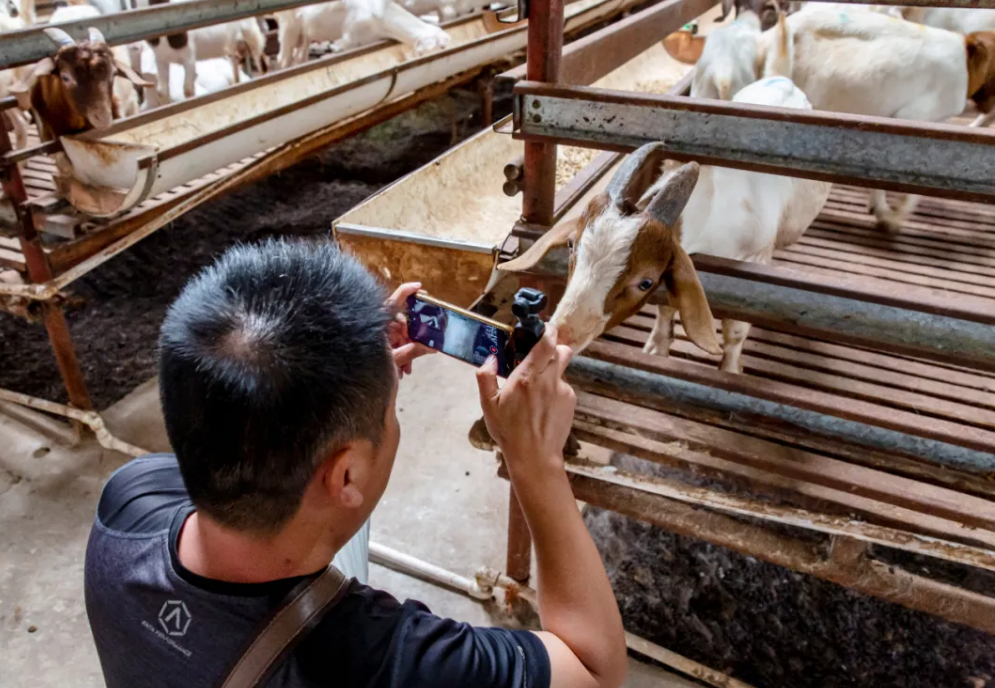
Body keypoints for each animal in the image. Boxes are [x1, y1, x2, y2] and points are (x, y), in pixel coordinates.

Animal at [278, 0, 454, 69]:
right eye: (441, 47)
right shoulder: (350, 38)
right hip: (288, 25)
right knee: (283, 58)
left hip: (305, 31)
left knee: (300, 55)